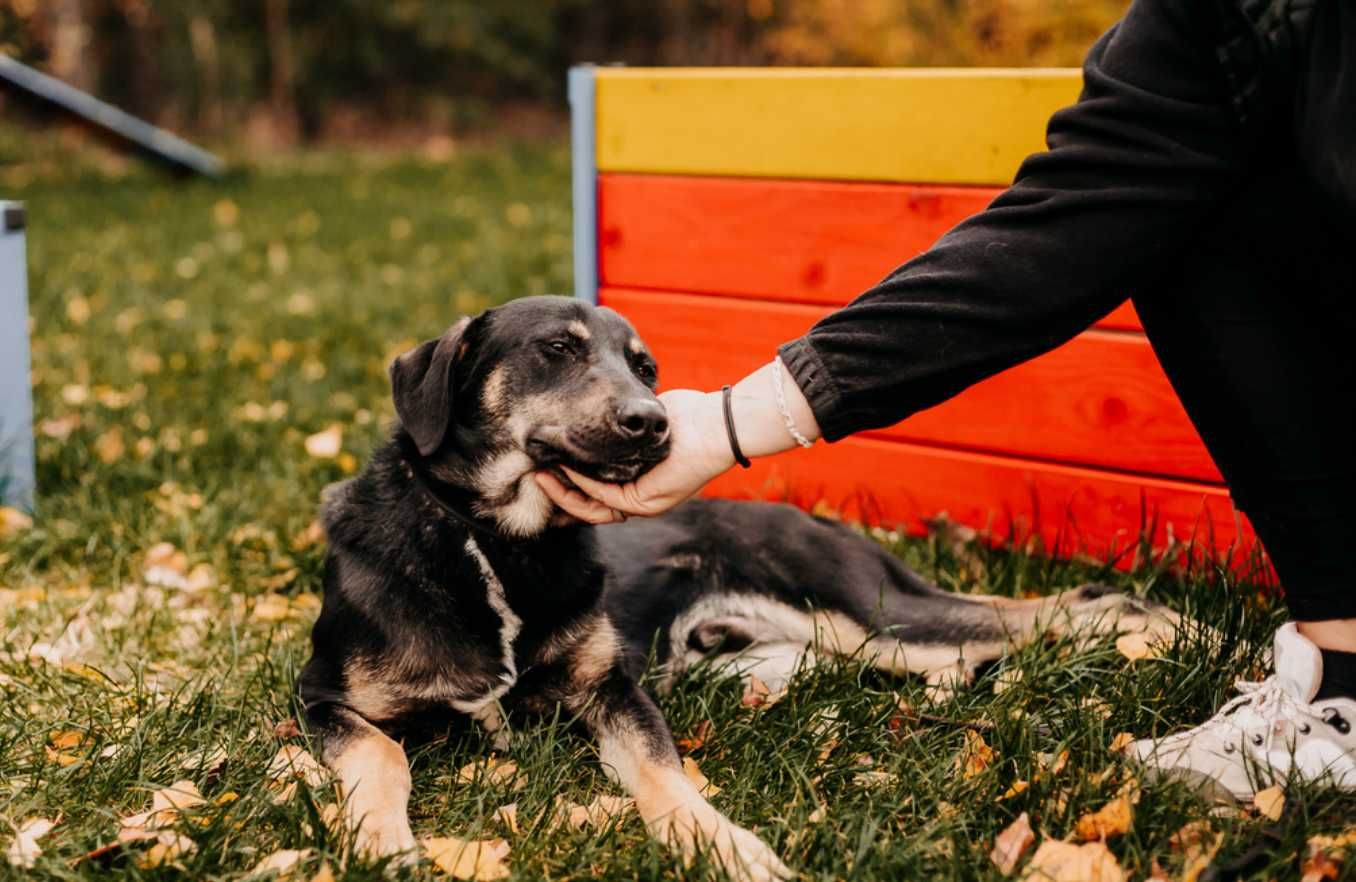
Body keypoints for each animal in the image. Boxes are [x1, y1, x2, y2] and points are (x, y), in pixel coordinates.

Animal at [299, 293, 1187, 873]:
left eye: (645, 366)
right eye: (557, 349)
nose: (652, 421)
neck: (499, 545)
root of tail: (816, 517)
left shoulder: (612, 690)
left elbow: (666, 774)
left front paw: (722, 845)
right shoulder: (320, 698)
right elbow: (383, 755)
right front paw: (382, 843)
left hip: (873, 615)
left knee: (1065, 606)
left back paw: (1177, 633)